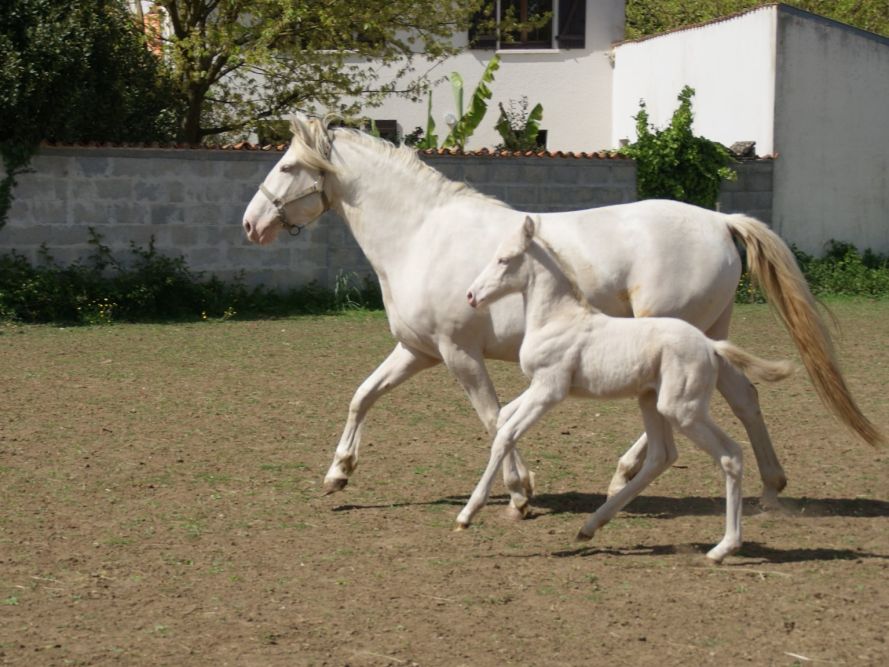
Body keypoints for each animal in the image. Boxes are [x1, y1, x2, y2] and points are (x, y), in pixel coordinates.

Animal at [241, 116, 882, 517]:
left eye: (286, 167)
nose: (251, 224)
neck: (422, 235)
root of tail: (721, 221)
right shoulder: (418, 351)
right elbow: (363, 395)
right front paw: (338, 474)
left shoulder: (457, 353)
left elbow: (493, 418)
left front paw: (521, 493)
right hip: (708, 335)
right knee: (745, 395)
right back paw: (770, 486)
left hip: (673, 332)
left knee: (689, 406)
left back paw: (628, 473)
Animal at [459, 215, 795, 562]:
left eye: (504, 259)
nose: (471, 296)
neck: (558, 319)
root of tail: (710, 345)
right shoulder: (538, 385)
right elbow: (503, 419)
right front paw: (517, 496)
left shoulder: (550, 389)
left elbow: (505, 435)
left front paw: (467, 514)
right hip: (651, 401)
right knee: (662, 455)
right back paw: (591, 525)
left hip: (683, 409)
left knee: (730, 455)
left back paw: (723, 547)